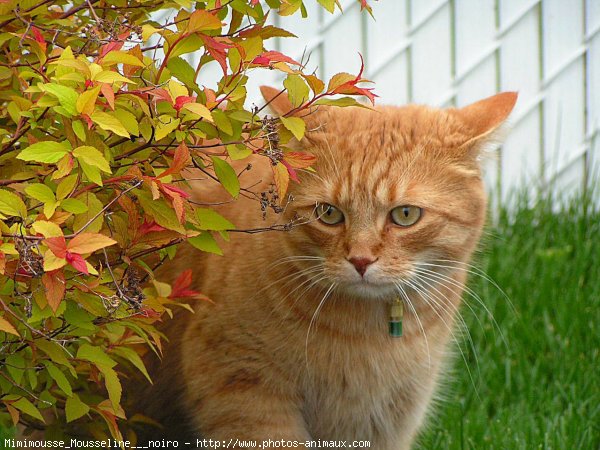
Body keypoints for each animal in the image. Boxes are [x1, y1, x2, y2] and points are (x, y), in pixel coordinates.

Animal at [134, 87, 516, 446]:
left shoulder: (386, 421)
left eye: (406, 215)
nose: (361, 259)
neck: (364, 337)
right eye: (328, 213)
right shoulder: (245, 391)